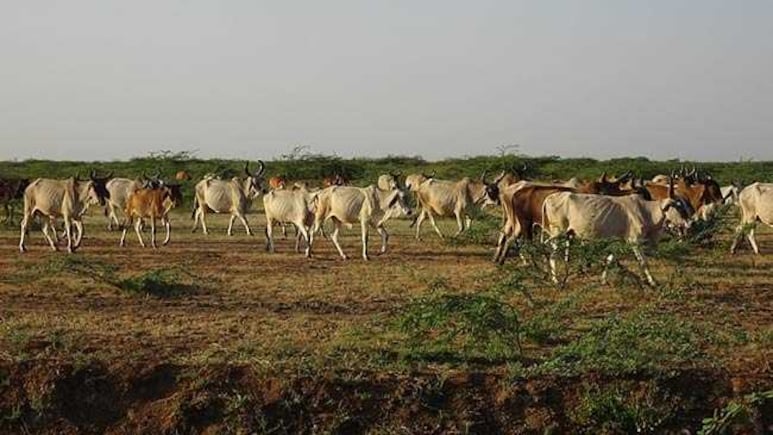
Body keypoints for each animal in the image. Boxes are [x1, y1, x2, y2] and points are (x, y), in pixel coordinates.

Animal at [541, 182, 692, 286]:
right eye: (678, 206)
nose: (689, 223)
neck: (646, 210)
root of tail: (549, 197)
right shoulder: (635, 242)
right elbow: (643, 262)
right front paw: (653, 281)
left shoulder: (618, 241)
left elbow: (609, 259)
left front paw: (603, 280)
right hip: (558, 232)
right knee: (552, 253)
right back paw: (556, 279)